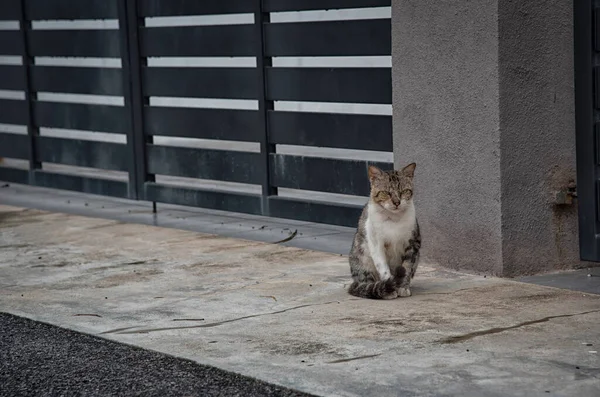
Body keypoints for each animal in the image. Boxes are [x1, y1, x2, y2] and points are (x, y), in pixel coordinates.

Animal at [346, 162, 422, 298]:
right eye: (386, 193)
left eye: (404, 191)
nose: (397, 202)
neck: (394, 219)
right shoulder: (376, 243)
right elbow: (384, 268)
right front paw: (390, 288)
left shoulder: (413, 243)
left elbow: (407, 267)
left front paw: (402, 287)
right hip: (362, 258)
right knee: (366, 281)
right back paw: (377, 288)